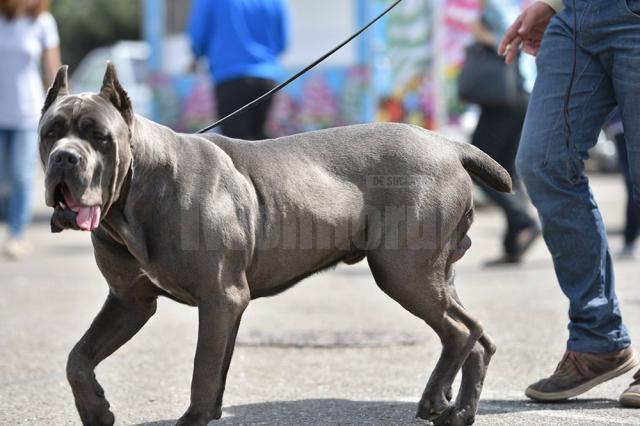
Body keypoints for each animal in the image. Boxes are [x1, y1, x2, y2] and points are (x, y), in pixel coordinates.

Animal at [40, 64, 510, 426]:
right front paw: (97, 411)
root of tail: (448, 144)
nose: (64, 157)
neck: (135, 195)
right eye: (49, 133)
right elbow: (78, 358)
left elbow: (203, 366)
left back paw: (437, 402)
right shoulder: (130, 301)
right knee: (477, 338)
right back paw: (457, 410)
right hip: (434, 273)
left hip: (404, 272)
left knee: (462, 330)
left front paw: (192, 419)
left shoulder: (220, 297)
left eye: (99, 136)